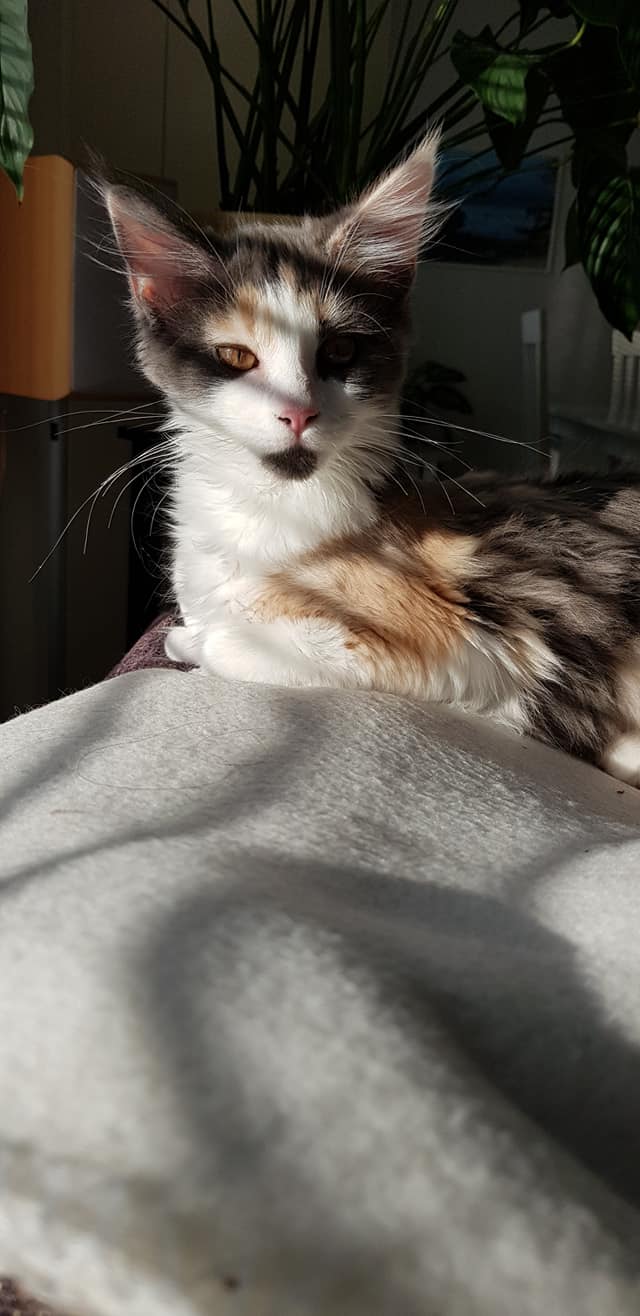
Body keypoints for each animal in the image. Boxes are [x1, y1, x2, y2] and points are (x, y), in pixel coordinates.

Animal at [103, 135, 640, 787]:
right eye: (235, 356)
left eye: (340, 350)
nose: (298, 413)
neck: (273, 515)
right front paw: (189, 632)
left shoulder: (472, 646)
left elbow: (231, 642)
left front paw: (192, 642)